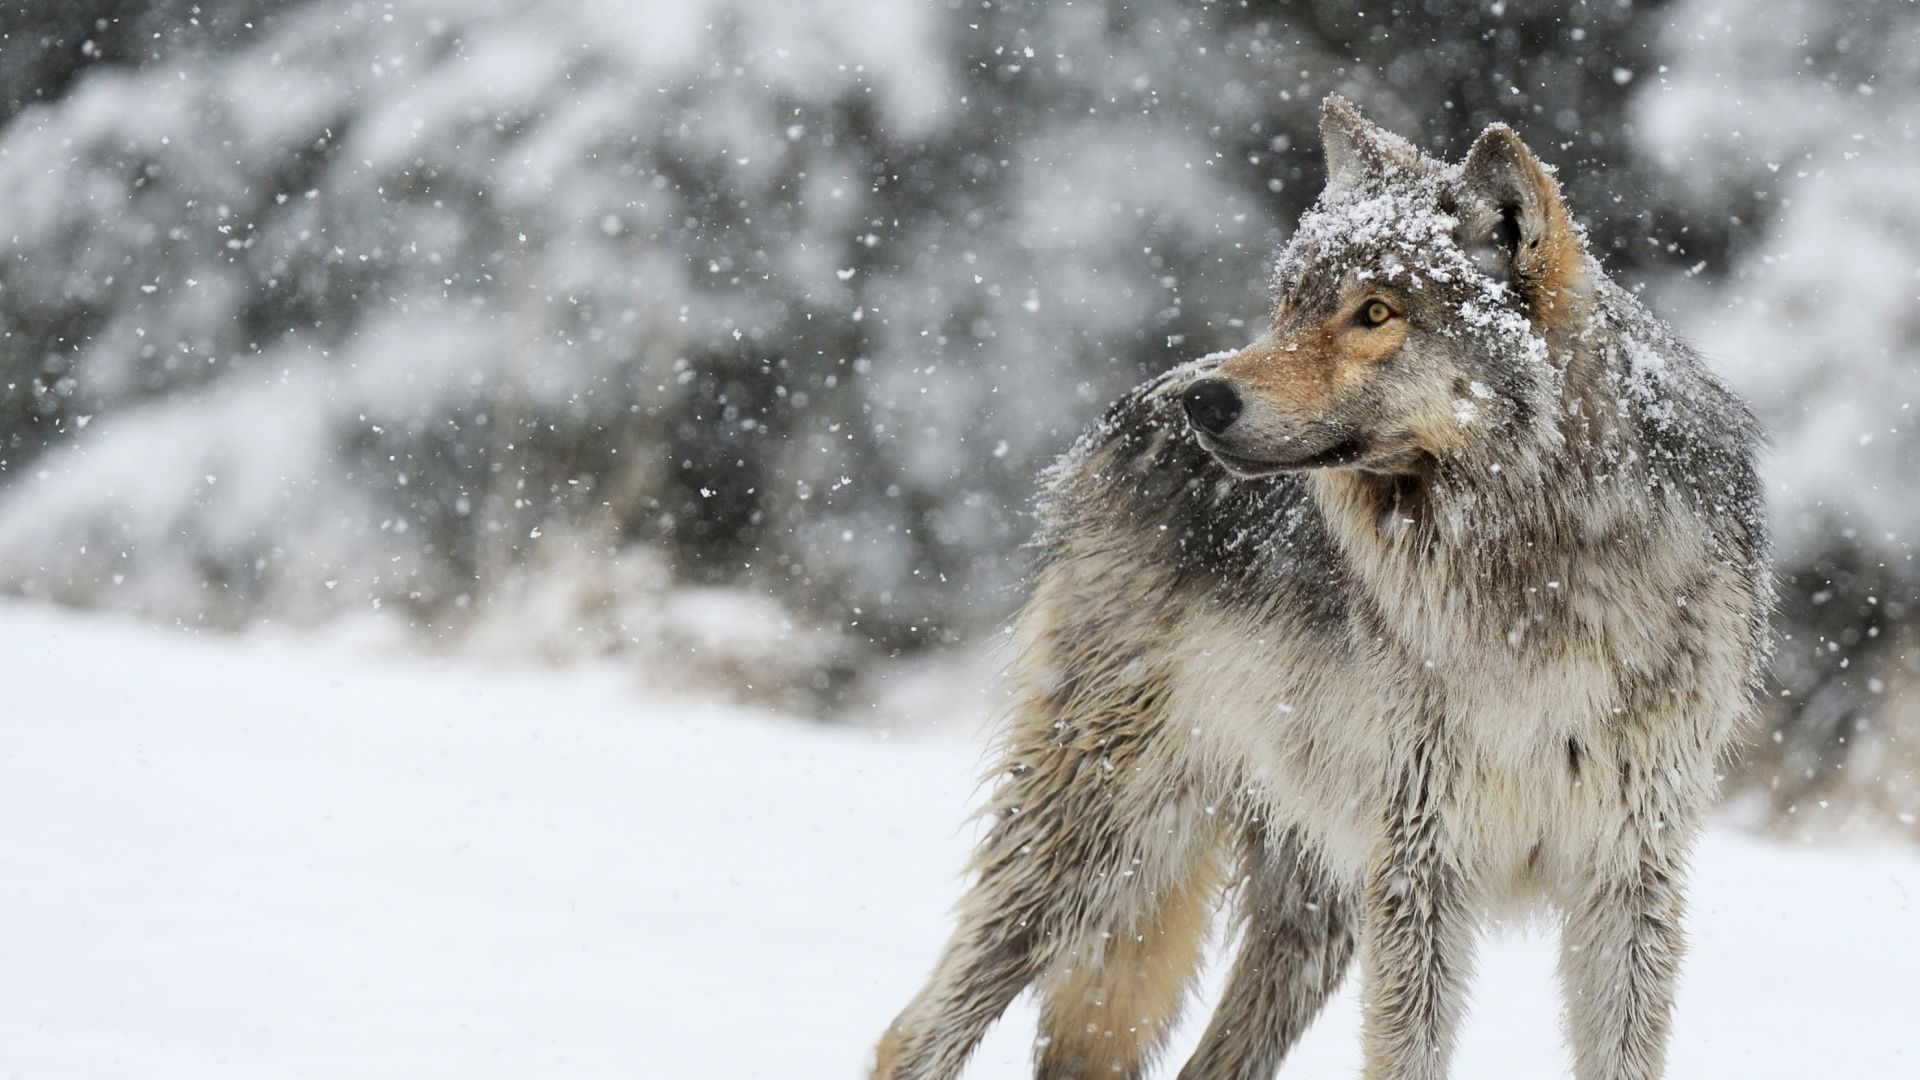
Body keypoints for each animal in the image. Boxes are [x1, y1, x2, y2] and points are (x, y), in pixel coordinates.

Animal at [871, 96, 1771, 1080]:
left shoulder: (1626, 875)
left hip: (1313, 912)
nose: (1207, 404)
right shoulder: (1423, 865)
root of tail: (1130, 411)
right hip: (1099, 842)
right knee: (910, 1033)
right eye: (1290, 302)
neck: (1532, 574)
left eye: (1374, 311)